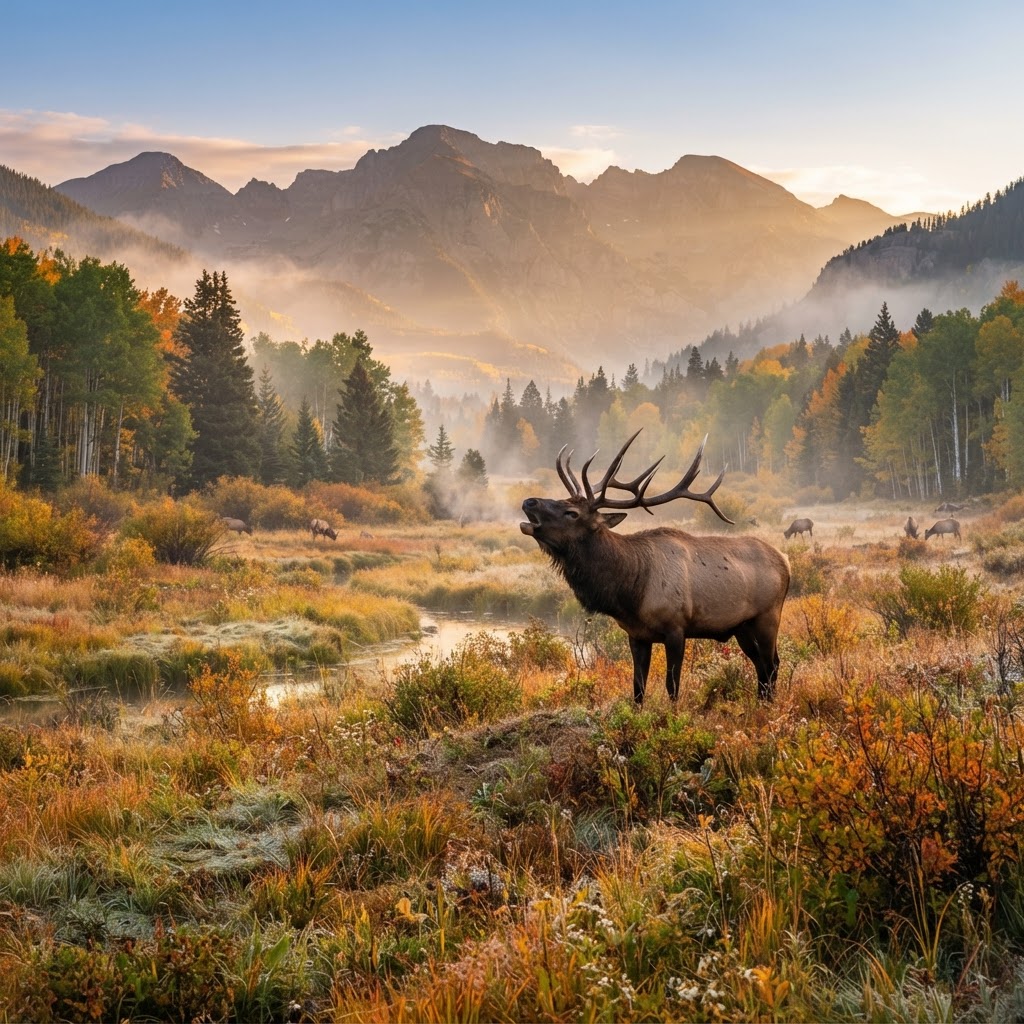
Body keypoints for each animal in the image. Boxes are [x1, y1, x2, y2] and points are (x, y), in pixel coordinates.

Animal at [520, 431, 790, 704]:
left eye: (572, 513)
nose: (529, 501)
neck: (631, 592)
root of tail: (786, 560)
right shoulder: (637, 635)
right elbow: (638, 689)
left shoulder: (676, 628)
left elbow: (672, 687)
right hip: (741, 627)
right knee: (762, 666)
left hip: (768, 616)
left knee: (772, 664)